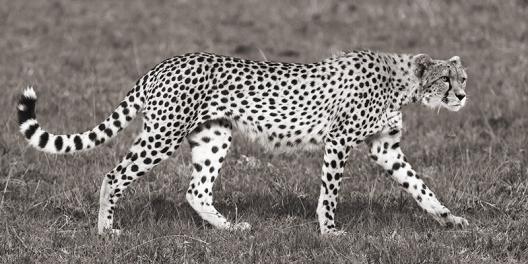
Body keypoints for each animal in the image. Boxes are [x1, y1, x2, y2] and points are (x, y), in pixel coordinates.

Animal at [17, 50, 470, 234]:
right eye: (446, 79)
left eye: (462, 78)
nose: (463, 96)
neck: (404, 82)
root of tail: (163, 63)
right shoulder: (338, 140)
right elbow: (330, 193)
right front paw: (329, 231)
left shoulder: (385, 148)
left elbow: (421, 187)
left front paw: (449, 219)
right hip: (163, 134)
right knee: (113, 175)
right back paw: (105, 230)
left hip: (214, 135)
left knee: (196, 191)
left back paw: (230, 229)